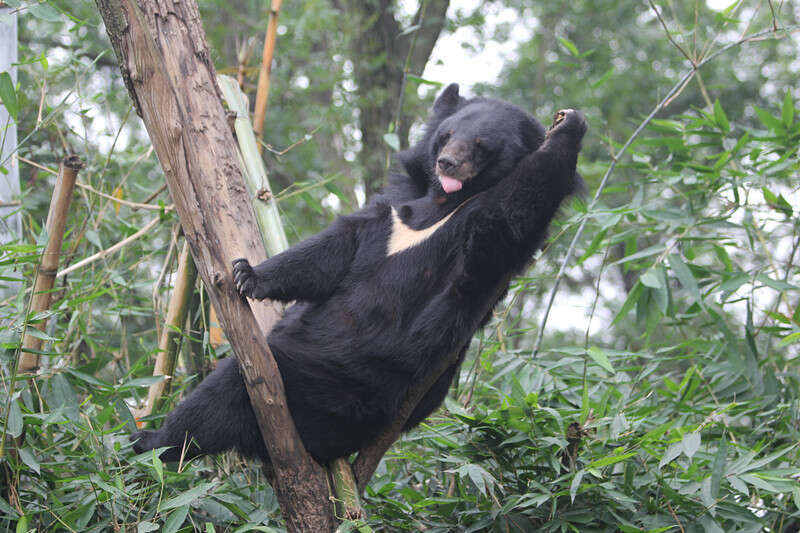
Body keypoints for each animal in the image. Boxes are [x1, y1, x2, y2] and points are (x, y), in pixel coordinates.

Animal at [134, 84, 588, 466]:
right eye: (446, 135)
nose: (447, 163)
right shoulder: (393, 209)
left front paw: (571, 125)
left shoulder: (481, 241)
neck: (441, 204)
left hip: (338, 388)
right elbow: (335, 248)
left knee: (224, 392)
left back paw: (152, 442)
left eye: (481, 146)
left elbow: (512, 212)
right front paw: (247, 275)